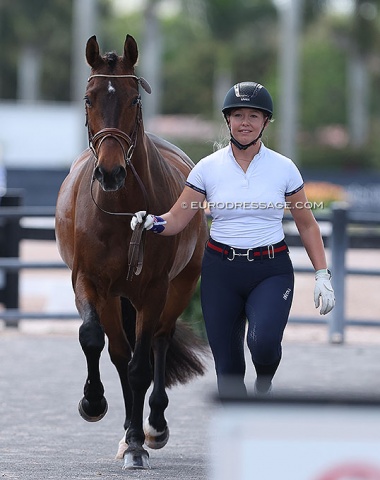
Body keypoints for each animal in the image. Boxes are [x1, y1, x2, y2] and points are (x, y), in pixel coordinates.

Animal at [56, 35, 209, 470]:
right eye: (88, 98)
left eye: (134, 99)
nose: (110, 173)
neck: (120, 210)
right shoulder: (89, 282)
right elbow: (93, 339)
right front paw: (93, 403)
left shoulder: (154, 290)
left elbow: (142, 365)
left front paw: (140, 442)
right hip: (115, 298)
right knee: (119, 353)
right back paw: (128, 430)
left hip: (179, 288)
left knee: (158, 342)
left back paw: (151, 427)